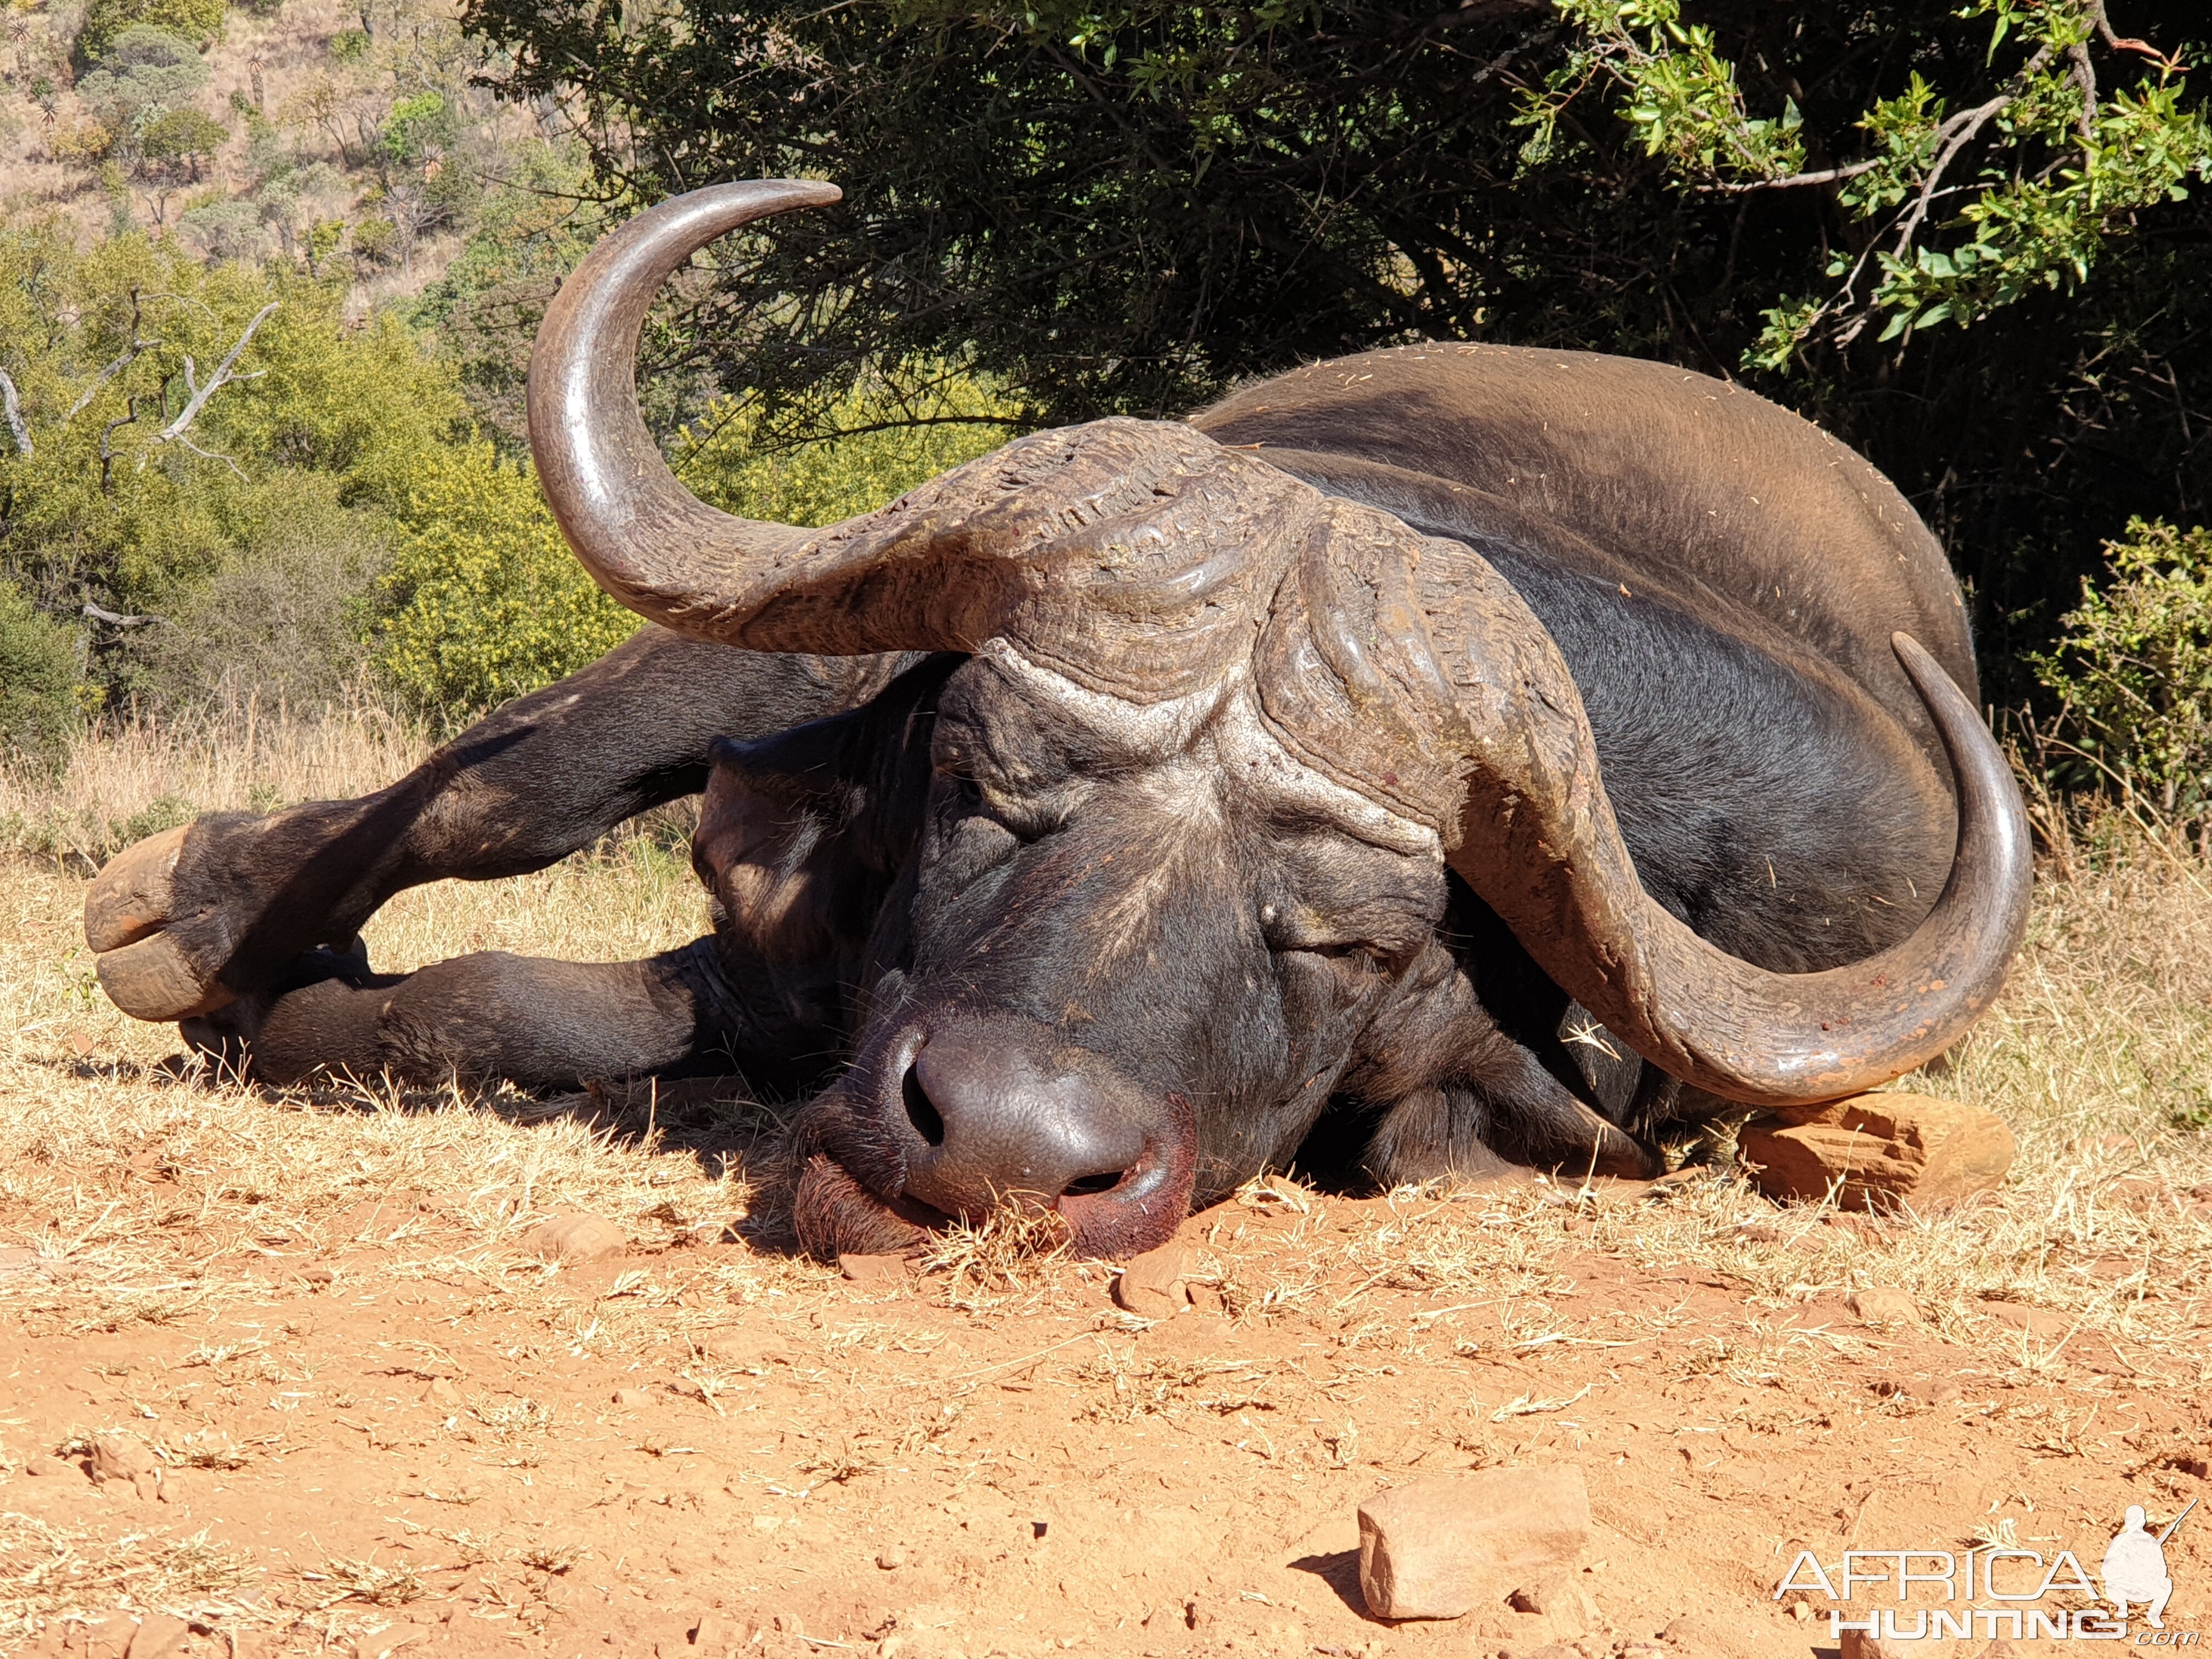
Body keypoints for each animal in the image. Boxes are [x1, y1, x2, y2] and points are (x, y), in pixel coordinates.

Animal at [82, 179, 2026, 1256]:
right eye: (982, 782)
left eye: (1350, 942)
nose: (1008, 1149)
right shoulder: (815, 679)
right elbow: (509, 808)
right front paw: (211, 936)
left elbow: (549, 1003)